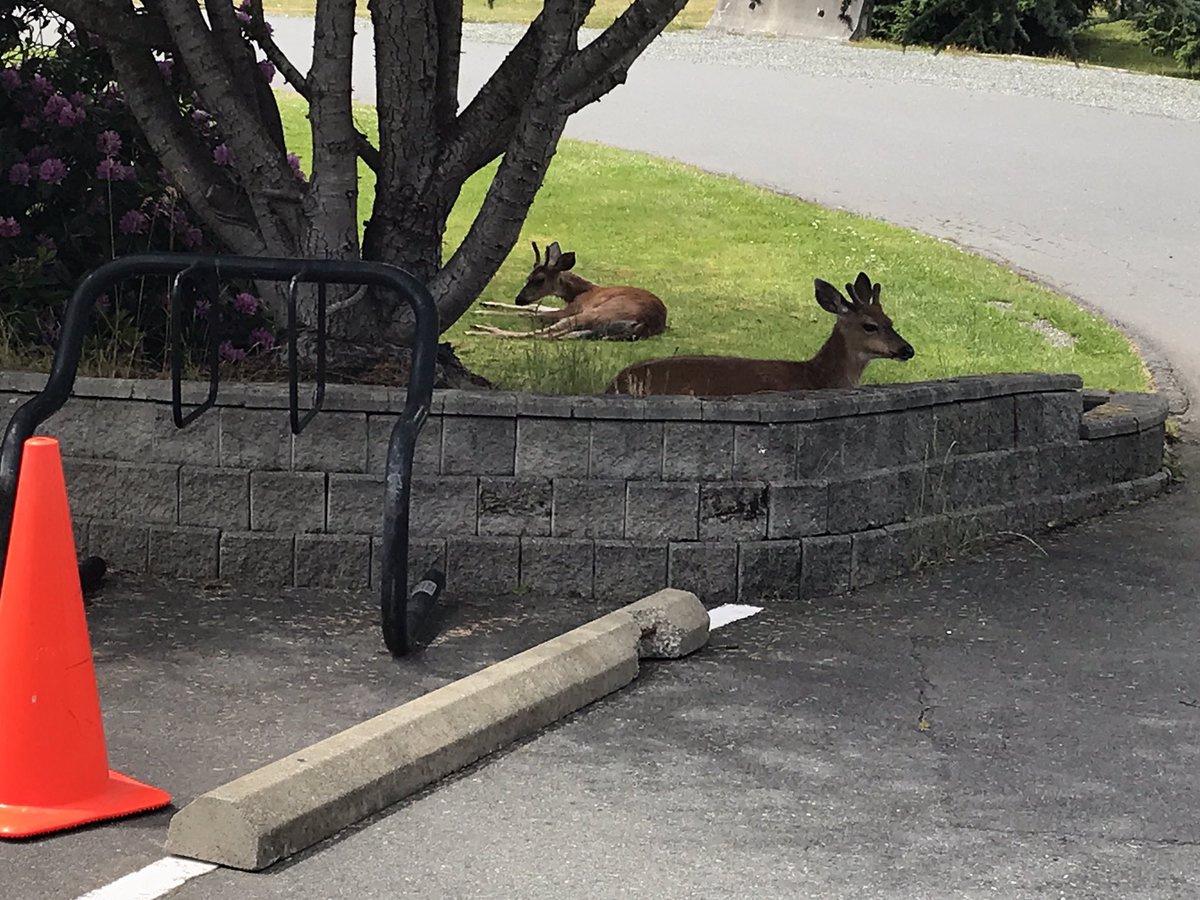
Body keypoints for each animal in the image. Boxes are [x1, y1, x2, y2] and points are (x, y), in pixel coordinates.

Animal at [466, 241, 668, 341]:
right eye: (528, 276)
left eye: (540, 279)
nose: (519, 299)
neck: (580, 292)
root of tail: (643, 325)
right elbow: (535, 308)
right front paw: (485, 304)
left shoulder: (575, 307)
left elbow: (531, 313)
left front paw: (482, 313)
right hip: (595, 327)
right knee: (560, 336)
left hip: (595, 314)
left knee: (544, 334)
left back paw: (480, 330)